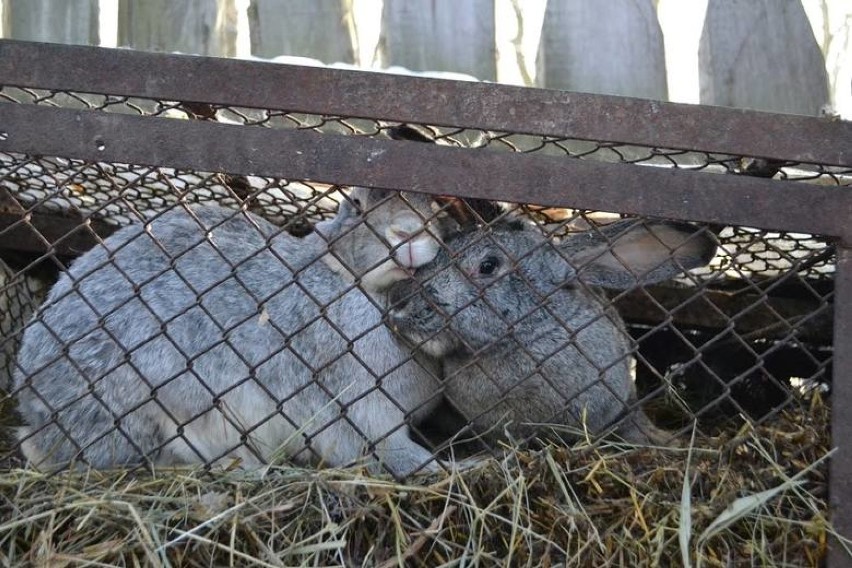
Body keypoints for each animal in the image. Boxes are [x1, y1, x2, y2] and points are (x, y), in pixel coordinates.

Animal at [13, 189, 452, 478]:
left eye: (434, 208)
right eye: (356, 205)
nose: (407, 233)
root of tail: (31, 400)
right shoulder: (356, 400)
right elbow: (381, 442)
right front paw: (428, 467)